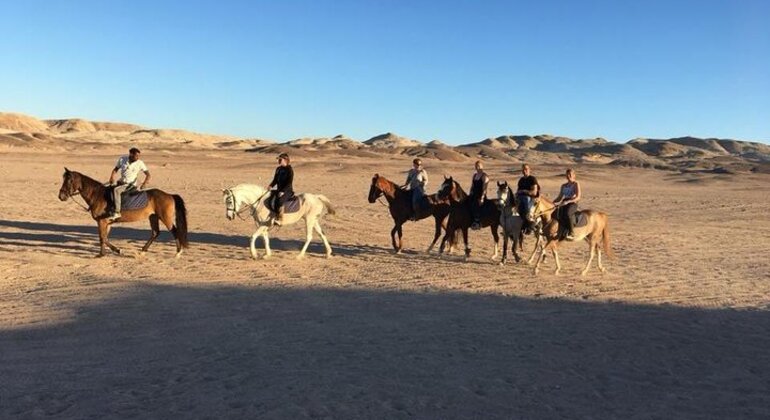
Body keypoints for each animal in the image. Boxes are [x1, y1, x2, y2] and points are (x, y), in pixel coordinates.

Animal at [57, 169, 188, 258]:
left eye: (69, 181)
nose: (61, 196)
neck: (97, 195)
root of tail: (169, 195)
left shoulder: (101, 221)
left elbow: (102, 238)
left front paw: (113, 251)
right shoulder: (106, 223)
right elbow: (104, 238)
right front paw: (105, 253)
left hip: (165, 217)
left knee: (174, 231)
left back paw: (178, 252)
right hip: (153, 217)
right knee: (155, 232)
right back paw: (143, 251)